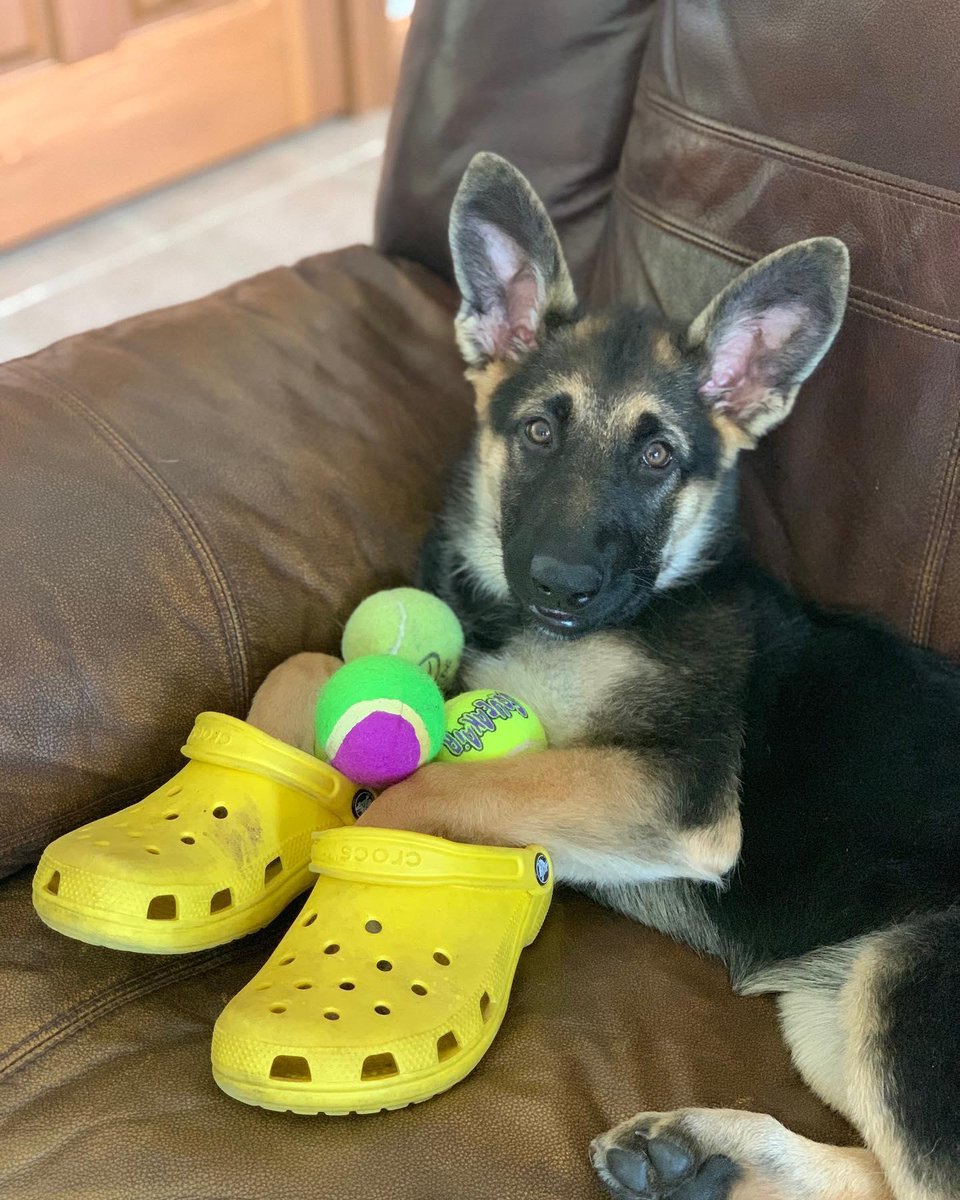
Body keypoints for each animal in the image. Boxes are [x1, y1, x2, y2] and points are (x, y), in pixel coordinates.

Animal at [355, 159, 960, 1200]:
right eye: (538, 432)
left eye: (657, 456)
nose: (560, 584)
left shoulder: (673, 790)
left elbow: (445, 784)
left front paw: (352, 830)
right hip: (835, 1001)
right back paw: (701, 1153)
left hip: (909, 991)